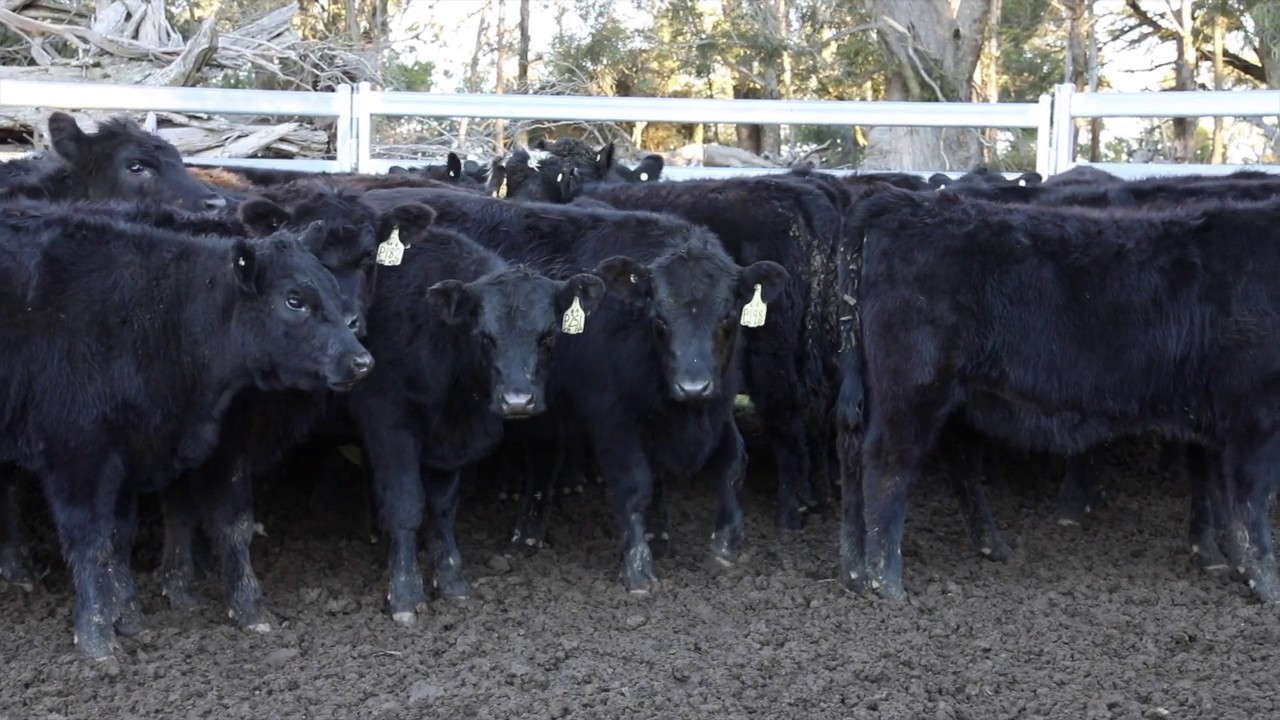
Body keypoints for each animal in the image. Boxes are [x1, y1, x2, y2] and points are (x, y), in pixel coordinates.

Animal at [0, 208, 371, 663]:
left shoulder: (134, 454)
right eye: (294, 299)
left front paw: (131, 616)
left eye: (334, 287)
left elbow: (125, 538)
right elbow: (94, 544)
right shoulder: (80, 458)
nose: (361, 360)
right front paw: (97, 638)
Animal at [339, 205, 605, 624]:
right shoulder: (387, 420)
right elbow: (406, 504)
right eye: (484, 336)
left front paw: (452, 580)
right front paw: (404, 593)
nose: (517, 400)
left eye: (548, 337)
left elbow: (444, 508)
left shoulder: (451, 443)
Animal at [839, 185, 1280, 604]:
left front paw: (1217, 559)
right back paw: (886, 585)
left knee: (932, 466)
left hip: (954, 402)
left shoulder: (1212, 416)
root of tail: (901, 202)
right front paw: (1267, 584)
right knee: (887, 469)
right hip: (913, 390)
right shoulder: (1252, 415)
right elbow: (1249, 500)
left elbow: (1213, 489)